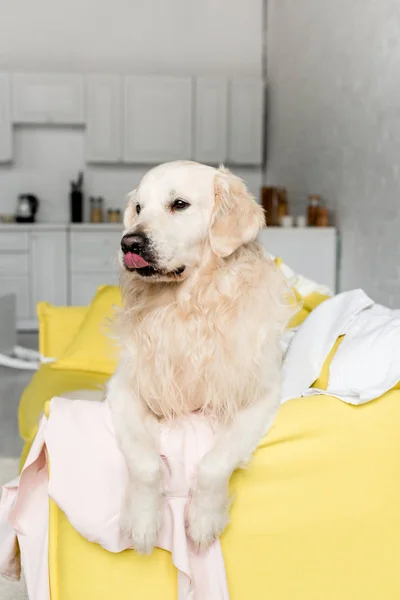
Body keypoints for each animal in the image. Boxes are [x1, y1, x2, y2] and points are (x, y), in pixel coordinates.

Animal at [107, 159, 294, 552]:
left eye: (179, 204)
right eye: (138, 208)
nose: (129, 241)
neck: (188, 308)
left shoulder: (259, 396)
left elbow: (214, 464)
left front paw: (205, 519)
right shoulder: (126, 388)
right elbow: (145, 462)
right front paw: (143, 521)